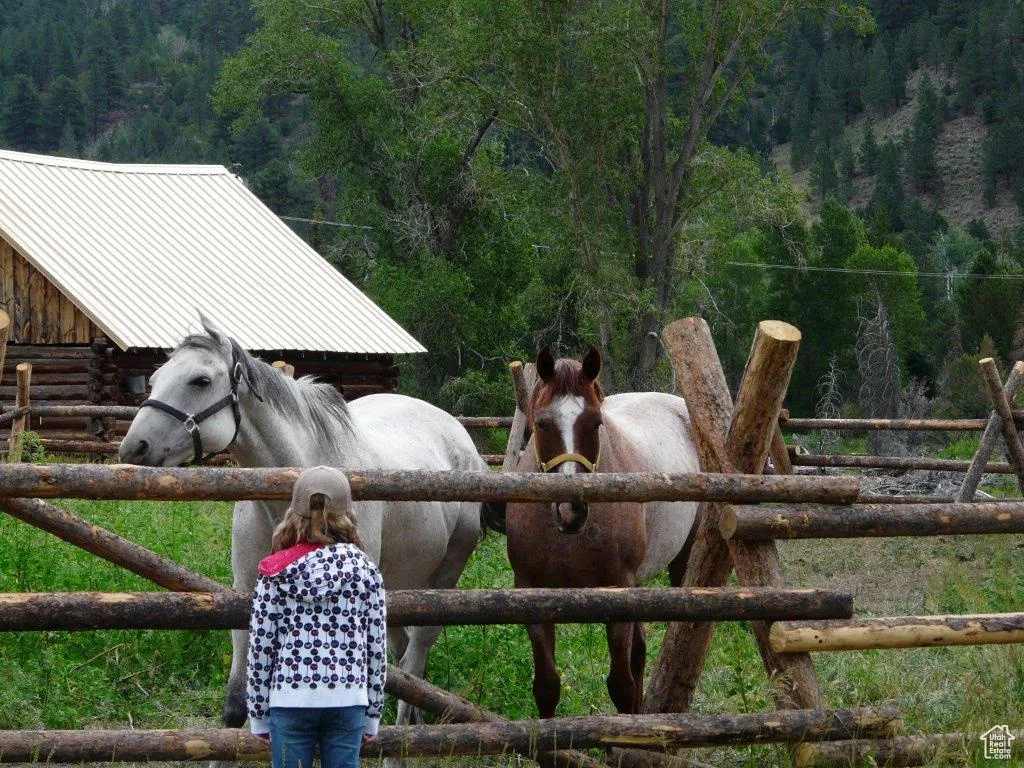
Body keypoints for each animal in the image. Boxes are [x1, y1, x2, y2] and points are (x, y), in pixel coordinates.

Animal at [118, 318, 500, 754]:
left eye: (200, 380)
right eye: (154, 379)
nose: (133, 448)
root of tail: (461, 439)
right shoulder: (246, 596)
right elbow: (236, 707)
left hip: (442, 581)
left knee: (413, 662)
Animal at [505, 345, 700, 717]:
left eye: (596, 423)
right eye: (542, 423)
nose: (572, 510)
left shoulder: (617, 593)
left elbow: (621, 686)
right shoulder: (532, 595)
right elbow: (547, 687)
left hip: (682, 559)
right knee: (640, 652)